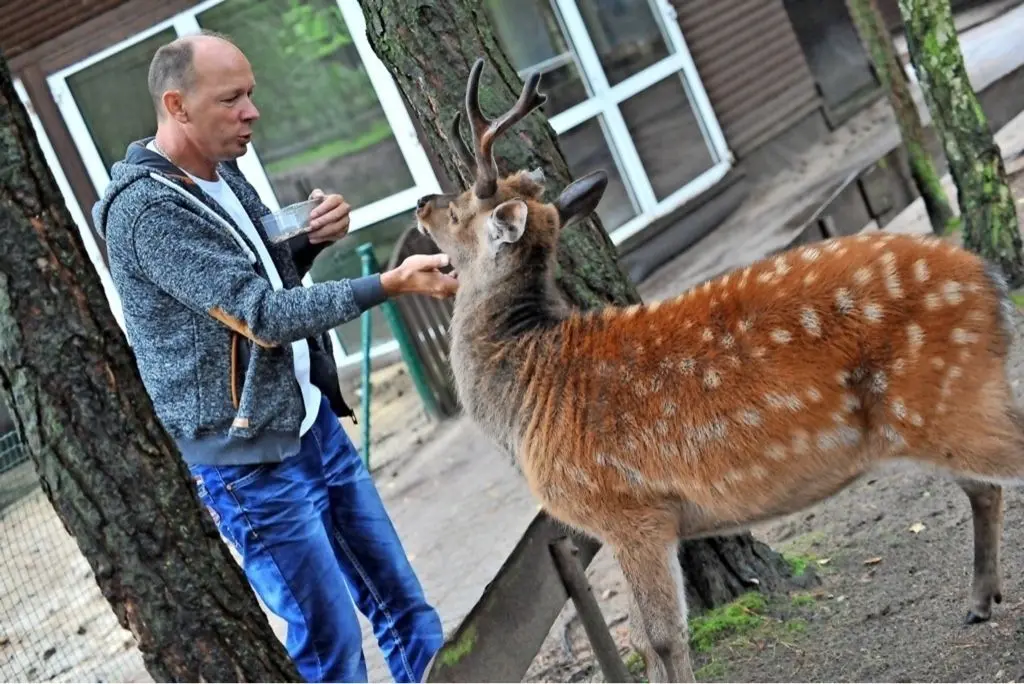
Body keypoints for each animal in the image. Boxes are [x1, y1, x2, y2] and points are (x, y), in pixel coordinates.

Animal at [414, 57, 1022, 682]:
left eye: (459, 210)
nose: (421, 202)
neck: (529, 395)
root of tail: (991, 283)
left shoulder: (628, 510)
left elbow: (660, 638)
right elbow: (645, 639)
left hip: (950, 395)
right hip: (943, 408)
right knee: (981, 487)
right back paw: (978, 602)